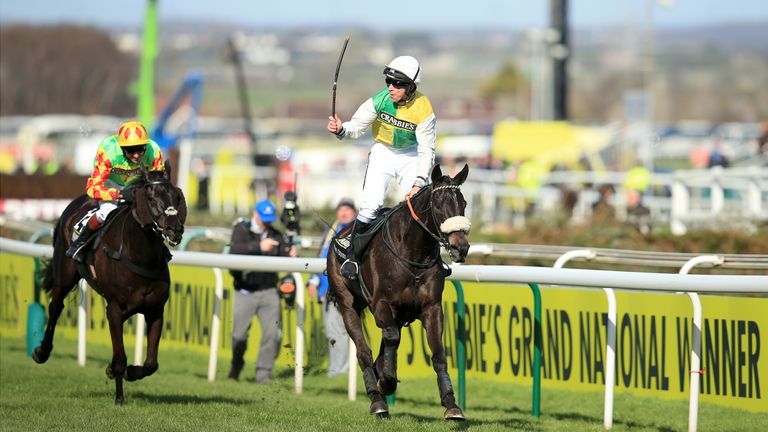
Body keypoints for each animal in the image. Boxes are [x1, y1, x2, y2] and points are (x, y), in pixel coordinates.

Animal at [33, 165, 186, 404]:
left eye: (177, 196)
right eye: (151, 197)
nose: (174, 229)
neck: (141, 256)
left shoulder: (155, 310)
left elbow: (151, 364)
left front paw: (130, 372)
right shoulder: (114, 310)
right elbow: (120, 358)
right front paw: (119, 397)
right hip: (64, 274)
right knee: (55, 307)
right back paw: (41, 352)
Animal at [328, 164, 472, 420]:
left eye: (463, 203)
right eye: (438, 205)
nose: (460, 247)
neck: (413, 253)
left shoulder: (431, 307)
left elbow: (438, 353)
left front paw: (451, 404)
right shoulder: (382, 304)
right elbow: (390, 340)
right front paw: (386, 383)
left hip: (400, 314)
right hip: (347, 304)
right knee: (365, 353)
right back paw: (377, 400)